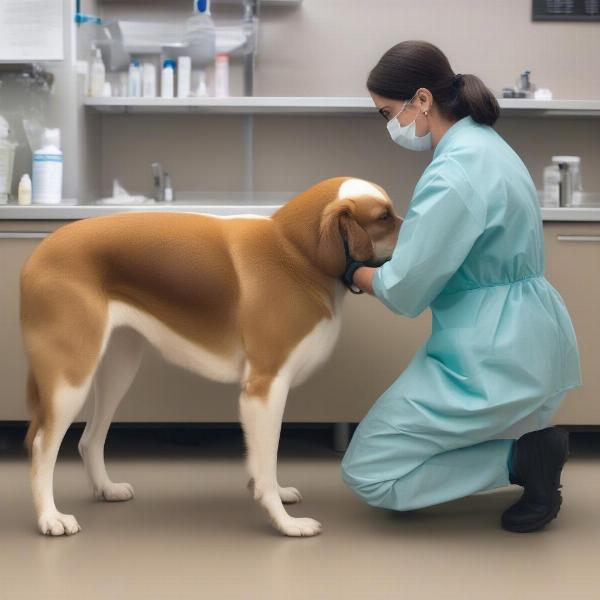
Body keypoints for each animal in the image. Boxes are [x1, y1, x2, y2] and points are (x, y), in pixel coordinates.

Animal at [21, 176, 400, 536]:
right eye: (384, 217)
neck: (296, 250)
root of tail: (38, 254)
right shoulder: (264, 389)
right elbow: (267, 461)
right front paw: (284, 522)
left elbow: (264, 459)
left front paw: (277, 494)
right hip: (70, 379)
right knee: (42, 446)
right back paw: (50, 518)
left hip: (116, 370)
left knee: (90, 439)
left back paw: (105, 489)